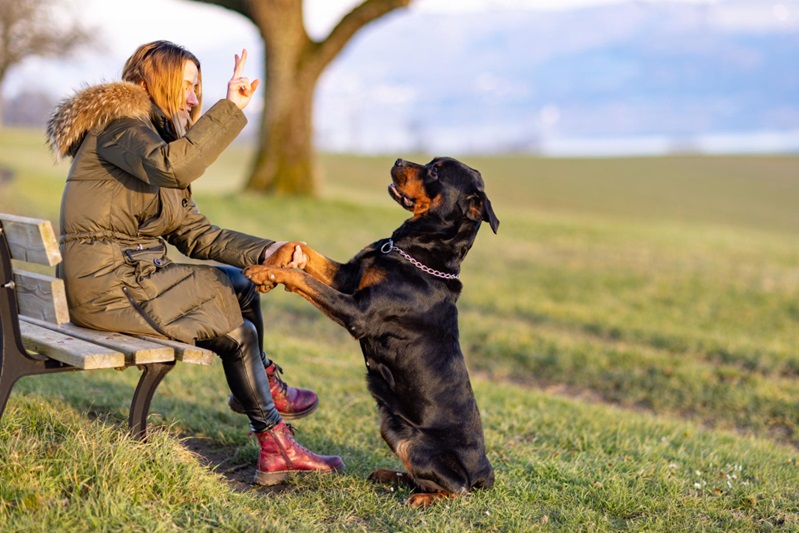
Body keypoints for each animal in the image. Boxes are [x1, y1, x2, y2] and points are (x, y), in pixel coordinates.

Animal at [242, 155, 500, 508]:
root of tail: (485, 471)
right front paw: (275, 262)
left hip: (415, 443)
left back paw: (423, 498)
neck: (418, 252)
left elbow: (302, 278)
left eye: (435, 171)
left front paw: (264, 272)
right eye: (432, 161)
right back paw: (390, 475)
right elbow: (301, 249)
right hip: (392, 428)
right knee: (422, 478)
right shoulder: (346, 277)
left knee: (457, 488)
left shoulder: (357, 311)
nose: (398, 159)